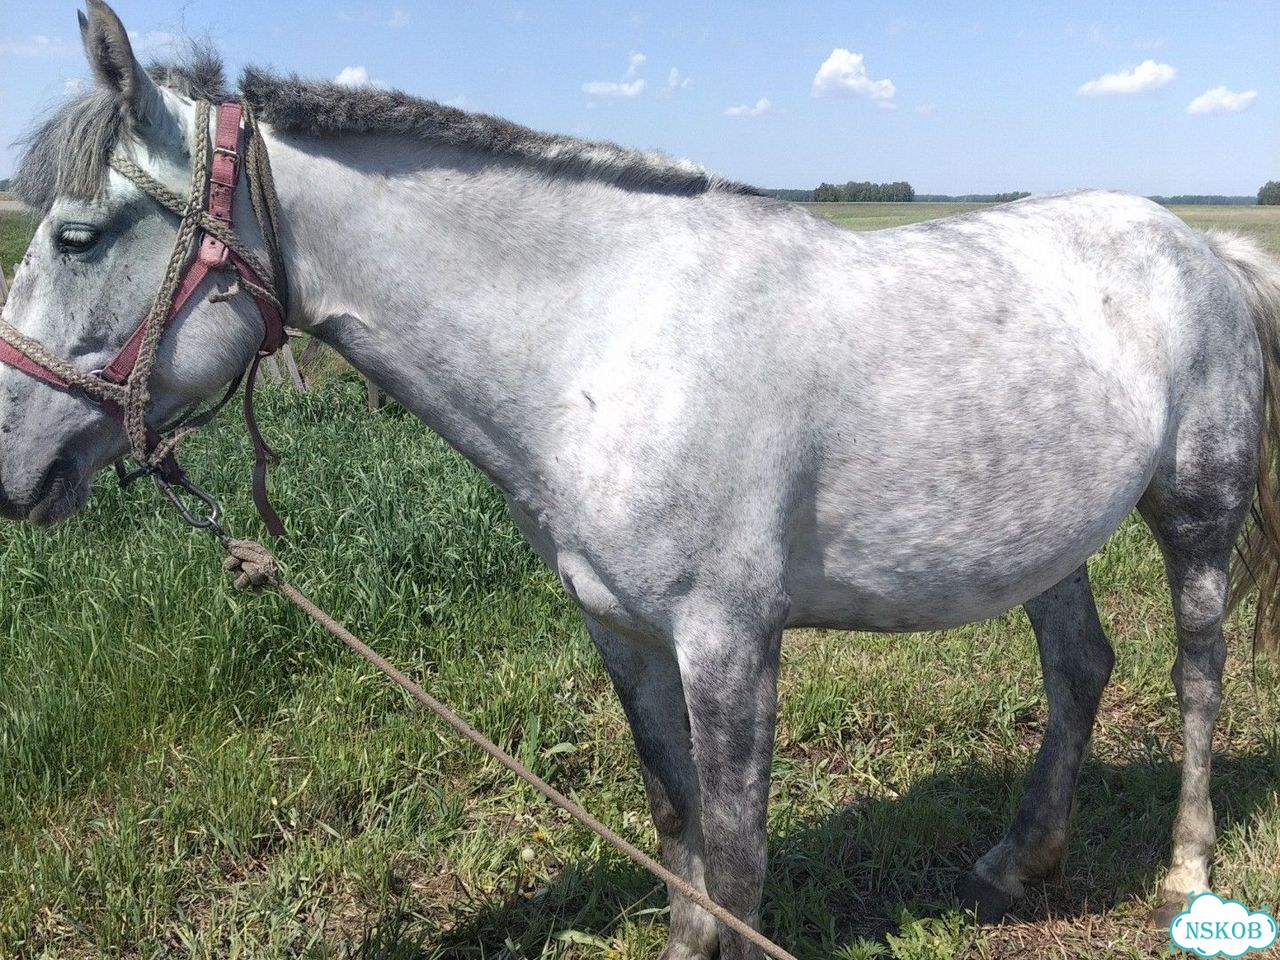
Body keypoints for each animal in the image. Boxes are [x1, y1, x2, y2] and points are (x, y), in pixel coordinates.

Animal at [3, 3, 1280, 957]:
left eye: (76, 235)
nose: (14, 469)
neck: (603, 337)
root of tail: (1200, 247)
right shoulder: (618, 628)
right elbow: (675, 822)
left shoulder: (727, 638)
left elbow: (737, 847)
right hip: (1044, 537)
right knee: (1078, 670)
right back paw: (1020, 861)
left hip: (1194, 516)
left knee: (1193, 673)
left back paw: (1183, 868)